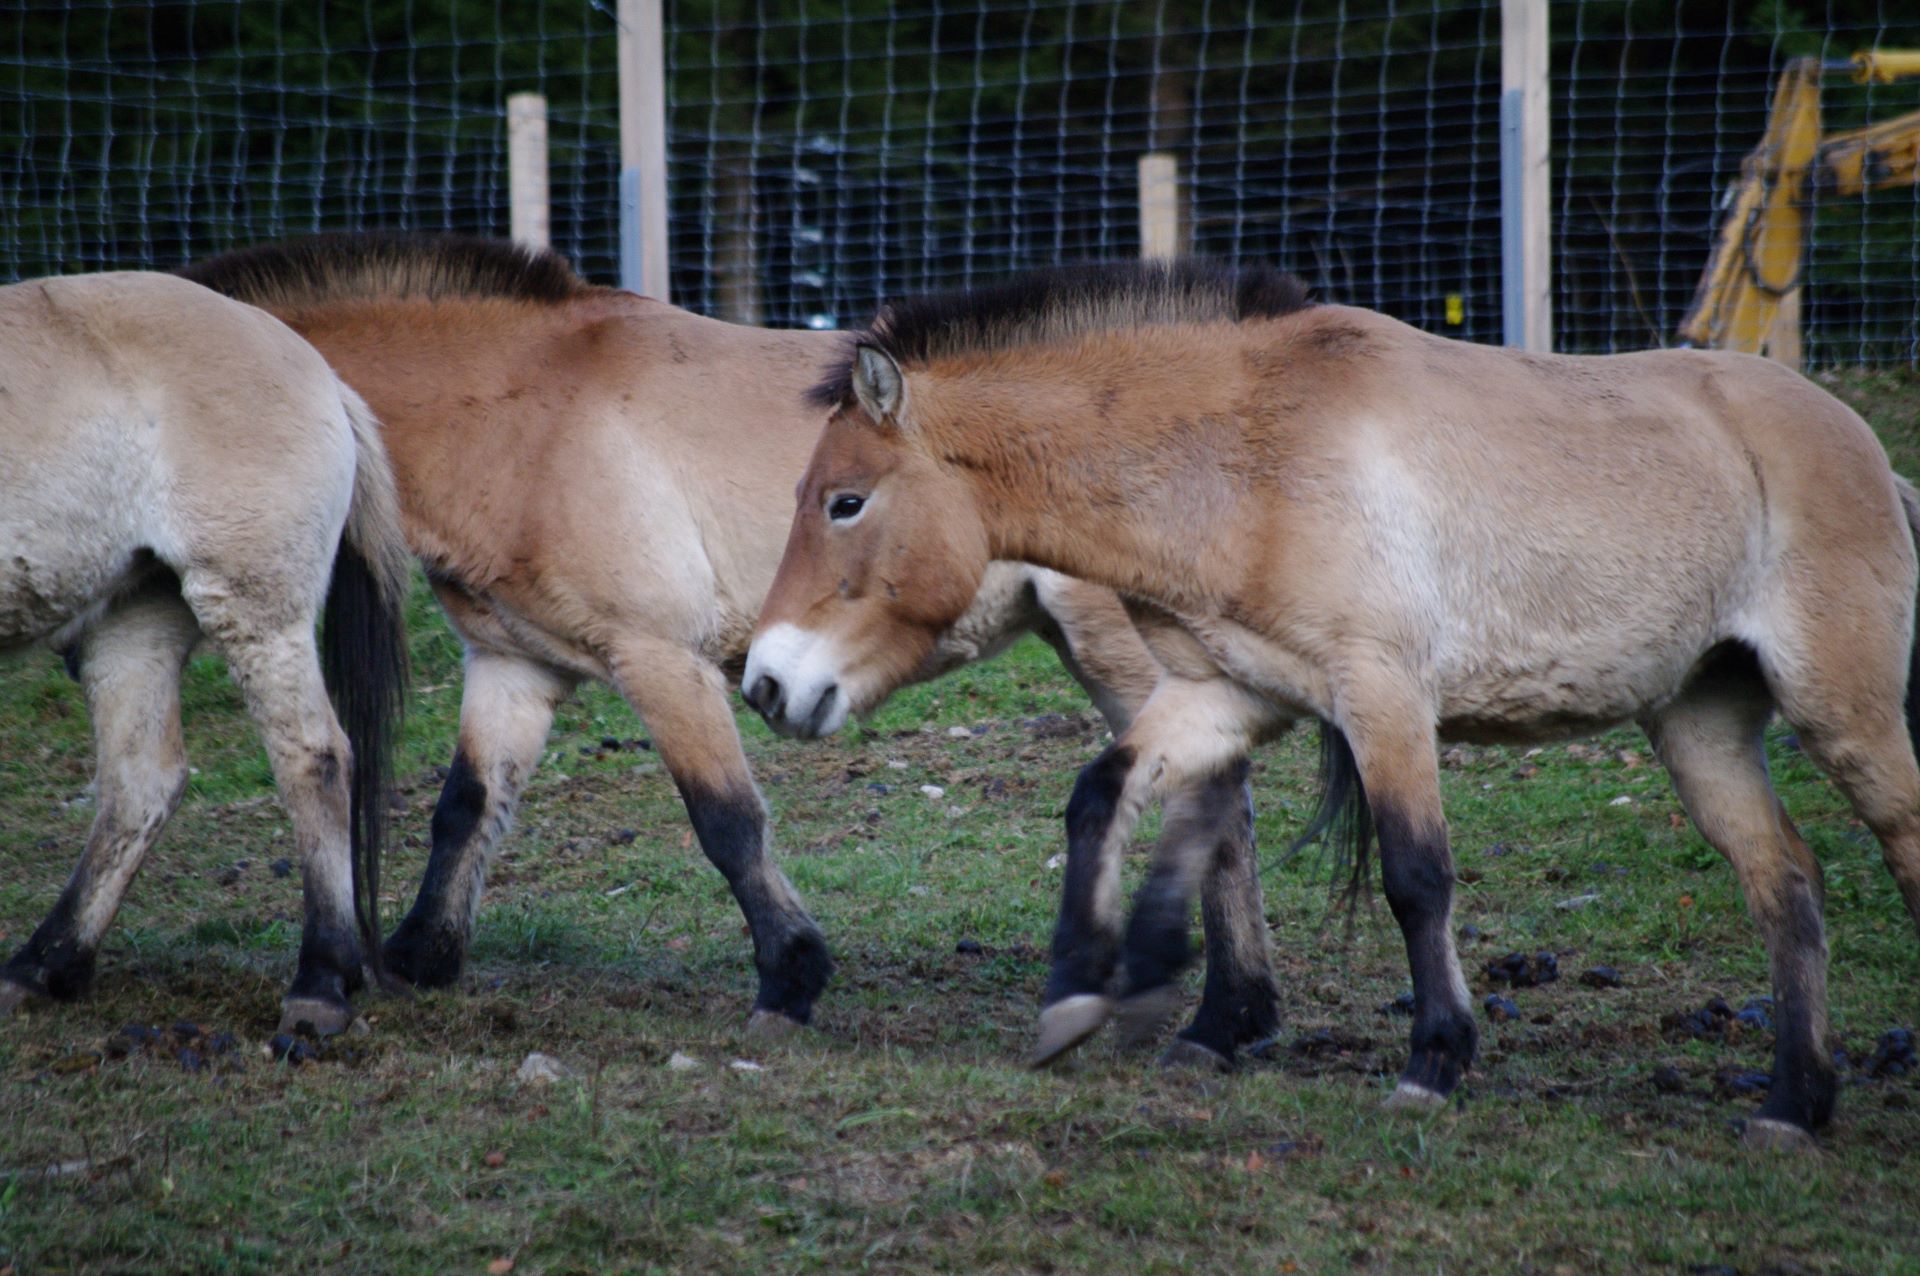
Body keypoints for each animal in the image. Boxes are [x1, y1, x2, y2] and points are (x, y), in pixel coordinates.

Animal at [1, 270, 408, 1036]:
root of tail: (318, 372)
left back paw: (320, 983)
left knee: (315, 759)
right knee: (140, 785)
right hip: (132, 619)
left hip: (252, 605)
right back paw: (43, 966)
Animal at [180, 236, 1282, 1051]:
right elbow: (467, 811)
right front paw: (417, 958)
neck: (522, 411)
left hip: (1125, 650)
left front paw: (790, 980)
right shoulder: (514, 664)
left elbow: (727, 822)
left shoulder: (657, 657)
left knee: (1217, 806)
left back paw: (1227, 1021)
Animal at [741, 257, 1920, 1143]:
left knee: (1896, 842)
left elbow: (1415, 878)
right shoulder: (1223, 693)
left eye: (845, 502)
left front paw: (1433, 1064)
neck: (1245, 456)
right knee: (1787, 884)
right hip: (1699, 725)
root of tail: (1867, 448)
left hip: (1845, 716)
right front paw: (1097, 995)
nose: (765, 680)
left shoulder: (1382, 695)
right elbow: (1105, 799)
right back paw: (1793, 1105)